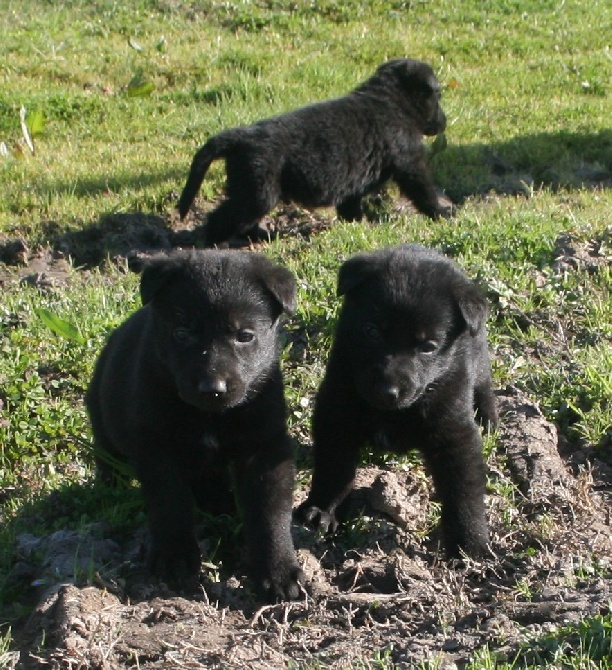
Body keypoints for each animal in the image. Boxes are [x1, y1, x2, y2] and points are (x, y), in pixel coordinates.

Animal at [85, 248, 304, 604]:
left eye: (245, 336)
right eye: (182, 333)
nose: (212, 387)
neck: (211, 415)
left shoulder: (265, 445)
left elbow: (270, 510)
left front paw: (278, 571)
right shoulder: (157, 445)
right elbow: (170, 502)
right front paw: (174, 558)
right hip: (104, 422)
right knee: (108, 457)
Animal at [177, 58, 450, 244]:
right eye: (437, 96)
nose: (444, 122)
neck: (392, 100)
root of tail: (240, 137)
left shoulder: (354, 184)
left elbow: (351, 206)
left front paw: (356, 225)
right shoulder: (409, 160)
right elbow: (422, 189)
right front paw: (442, 212)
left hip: (248, 189)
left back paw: (261, 236)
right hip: (258, 192)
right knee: (223, 218)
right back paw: (214, 243)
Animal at [296, 244, 498, 560]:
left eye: (428, 347)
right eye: (371, 331)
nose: (387, 390)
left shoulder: (452, 427)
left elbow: (463, 489)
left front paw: (470, 544)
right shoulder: (338, 408)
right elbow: (334, 467)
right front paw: (322, 510)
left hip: (478, 360)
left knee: (485, 385)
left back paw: (489, 419)